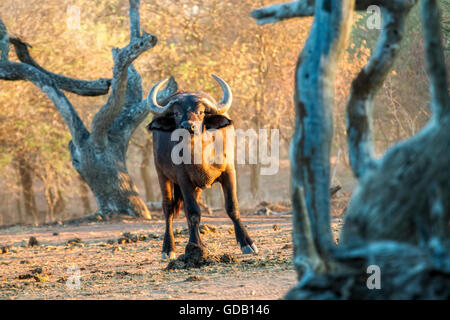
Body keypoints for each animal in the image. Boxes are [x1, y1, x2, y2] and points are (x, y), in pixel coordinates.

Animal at [147, 75, 258, 260]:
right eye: (176, 113)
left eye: (200, 112)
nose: (188, 126)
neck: (201, 157)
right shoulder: (183, 179)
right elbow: (193, 212)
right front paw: (194, 245)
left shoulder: (229, 172)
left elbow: (232, 207)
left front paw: (247, 243)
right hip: (162, 175)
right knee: (169, 208)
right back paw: (168, 248)